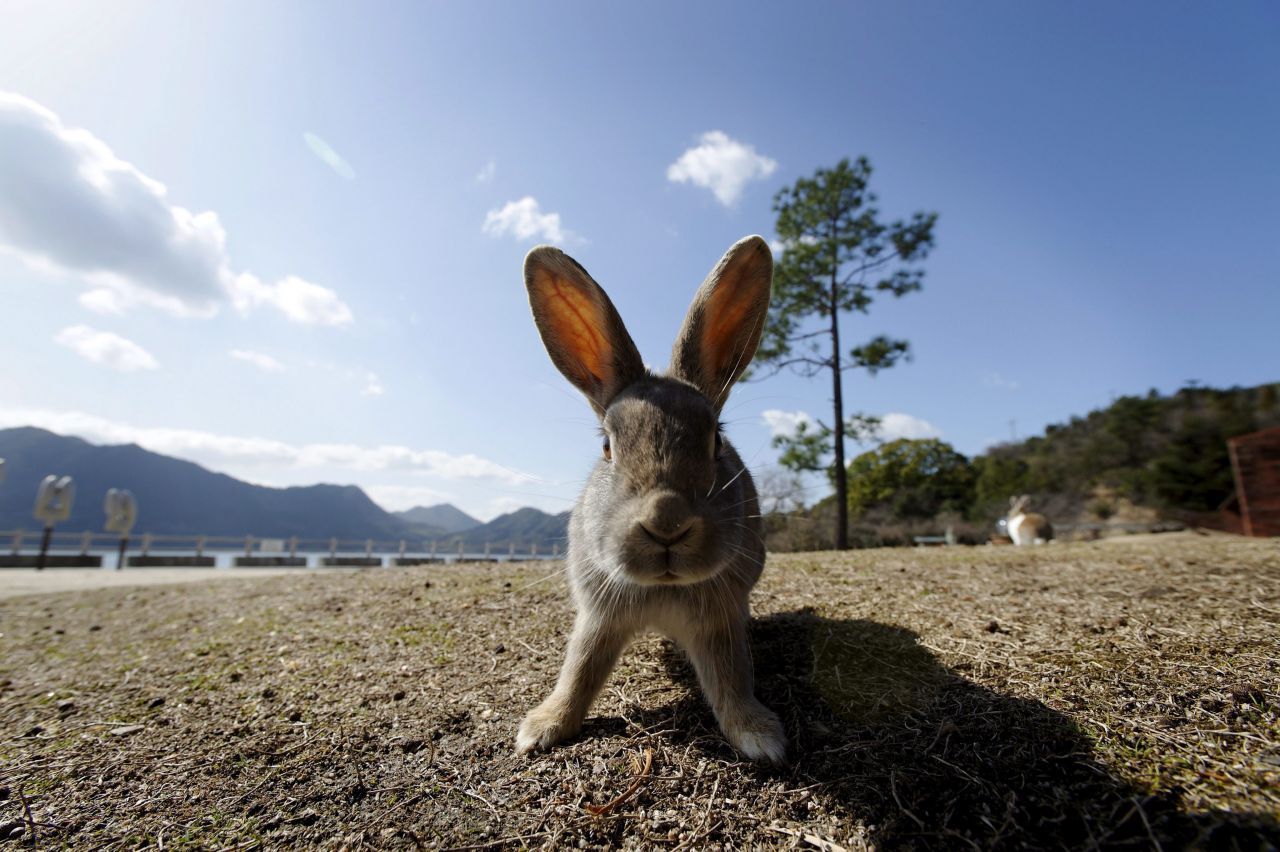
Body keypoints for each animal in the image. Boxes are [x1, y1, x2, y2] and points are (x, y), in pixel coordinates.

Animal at [517, 234, 778, 762]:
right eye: (607, 446)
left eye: (716, 441)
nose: (667, 521)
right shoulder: (599, 617)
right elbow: (580, 670)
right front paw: (543, 728)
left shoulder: (719, 621)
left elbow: (731, 677)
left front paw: (758, 736)